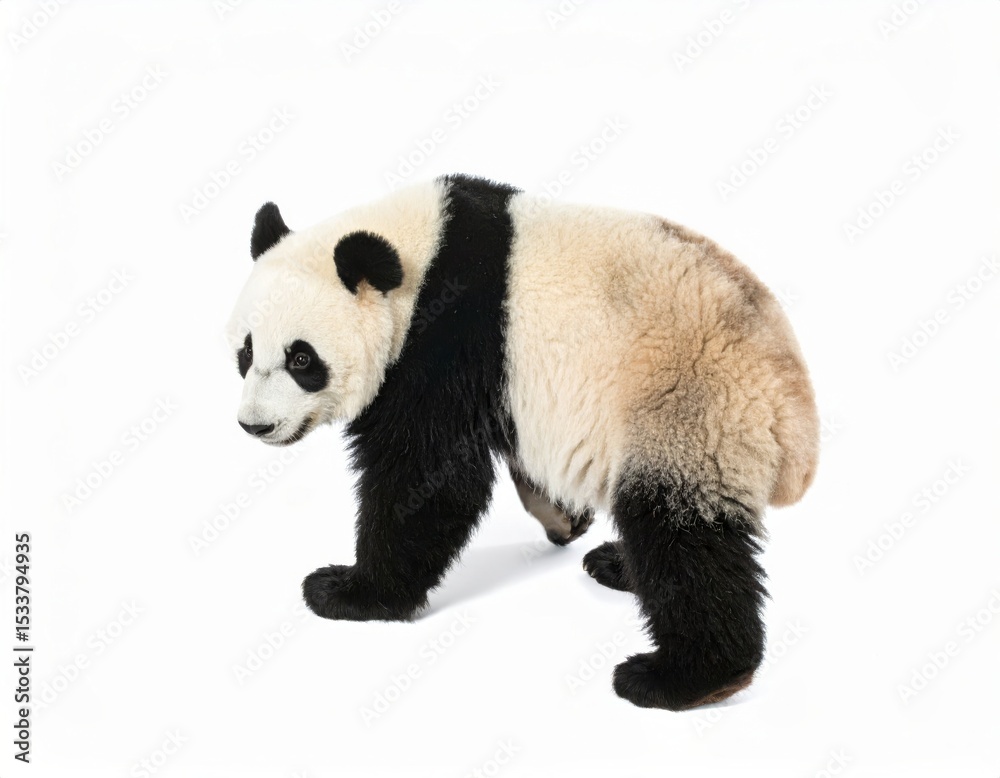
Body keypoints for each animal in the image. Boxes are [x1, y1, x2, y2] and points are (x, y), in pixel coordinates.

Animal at [226, 173, 819, 711]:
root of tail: (793, 414)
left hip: (688, 407)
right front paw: (563, 517)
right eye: (246, 352)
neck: (416, 259)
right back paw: (618, 566)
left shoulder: (448, 340)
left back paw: (681, 678)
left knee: (681, 535)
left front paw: (349, 590)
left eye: (302, 359)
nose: (256, 426)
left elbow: (428, 479)